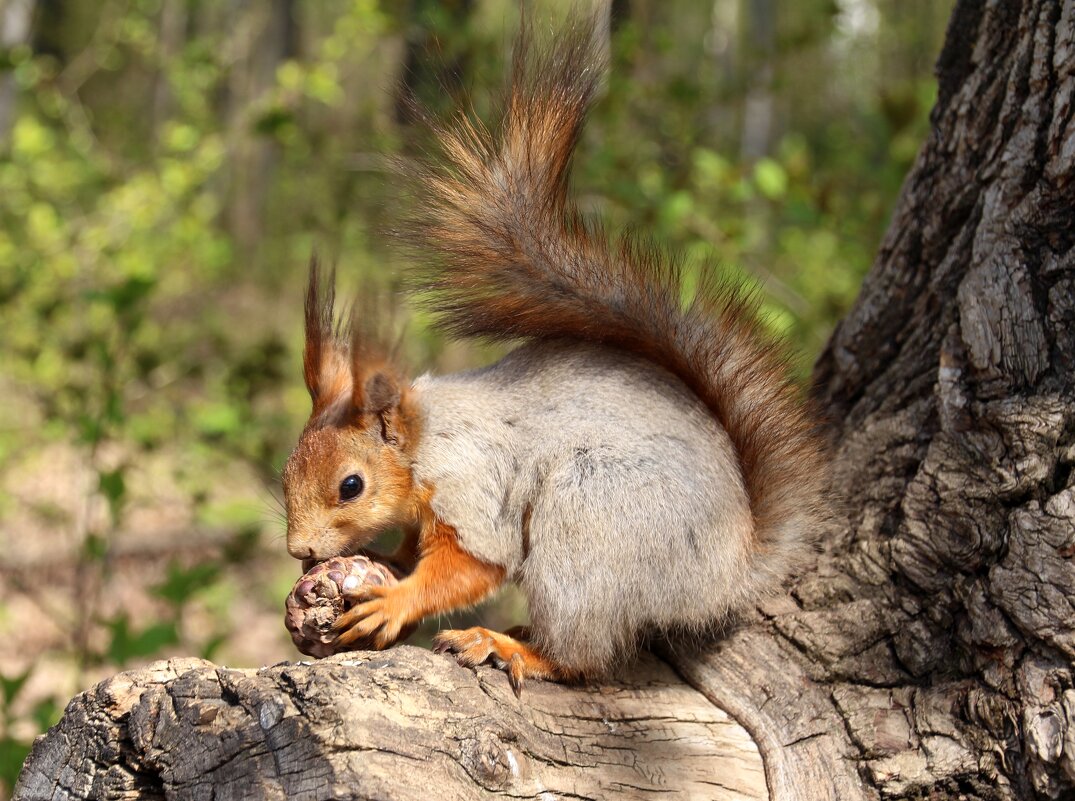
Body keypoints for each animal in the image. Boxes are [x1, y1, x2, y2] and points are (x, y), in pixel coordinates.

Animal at [281, 12, 825, 692]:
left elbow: (473, 566)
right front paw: (380, 560)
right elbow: (413, 552)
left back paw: (509, 646)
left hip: (588, 525)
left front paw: (396, 600)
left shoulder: (474, 489)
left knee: (583, 655)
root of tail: (729, 574)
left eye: (351, 486)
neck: (424, 441)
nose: (299, 551)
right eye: (286, 472)